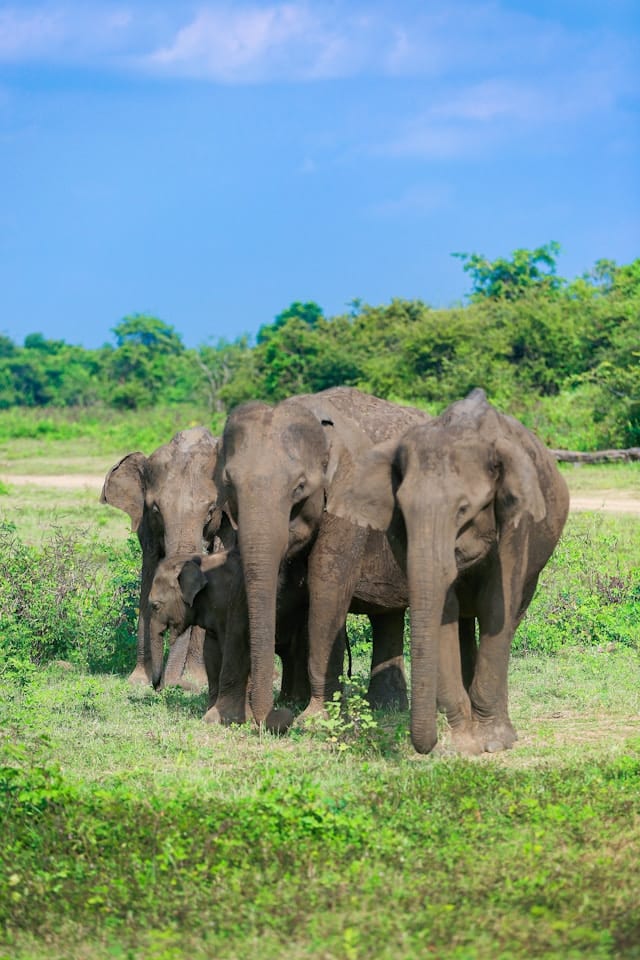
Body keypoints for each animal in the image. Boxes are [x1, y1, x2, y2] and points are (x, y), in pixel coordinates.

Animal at [101, 427, 231, 690]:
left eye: (211, 510)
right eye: (156, 509)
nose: (162, 684)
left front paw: (196, 681)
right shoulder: (146, 527)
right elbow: (148, 576)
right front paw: (138, 680)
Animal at [148, 548, 313, 729]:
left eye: (155, 606)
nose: (158, 688)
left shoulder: (224, 602)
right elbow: (211, 652)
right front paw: (210, 710)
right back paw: (289, 701)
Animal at [215, 386, 429, 733]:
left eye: (300, 487)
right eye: (229, 484)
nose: (277, 717)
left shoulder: (350, 497)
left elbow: (327, 585)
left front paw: (314, 722)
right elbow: (240, 588)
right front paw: (222, 717)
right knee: (388, 615)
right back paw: (386, 708)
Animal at [338, 388, 570, 755]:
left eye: (463, 509)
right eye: (402, 509)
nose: (428, 744)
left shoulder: (518, 522)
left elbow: (496, 608)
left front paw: (492, 743)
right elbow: (444, 610)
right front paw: (458, 745)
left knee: (509, 616)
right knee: (463, 620)